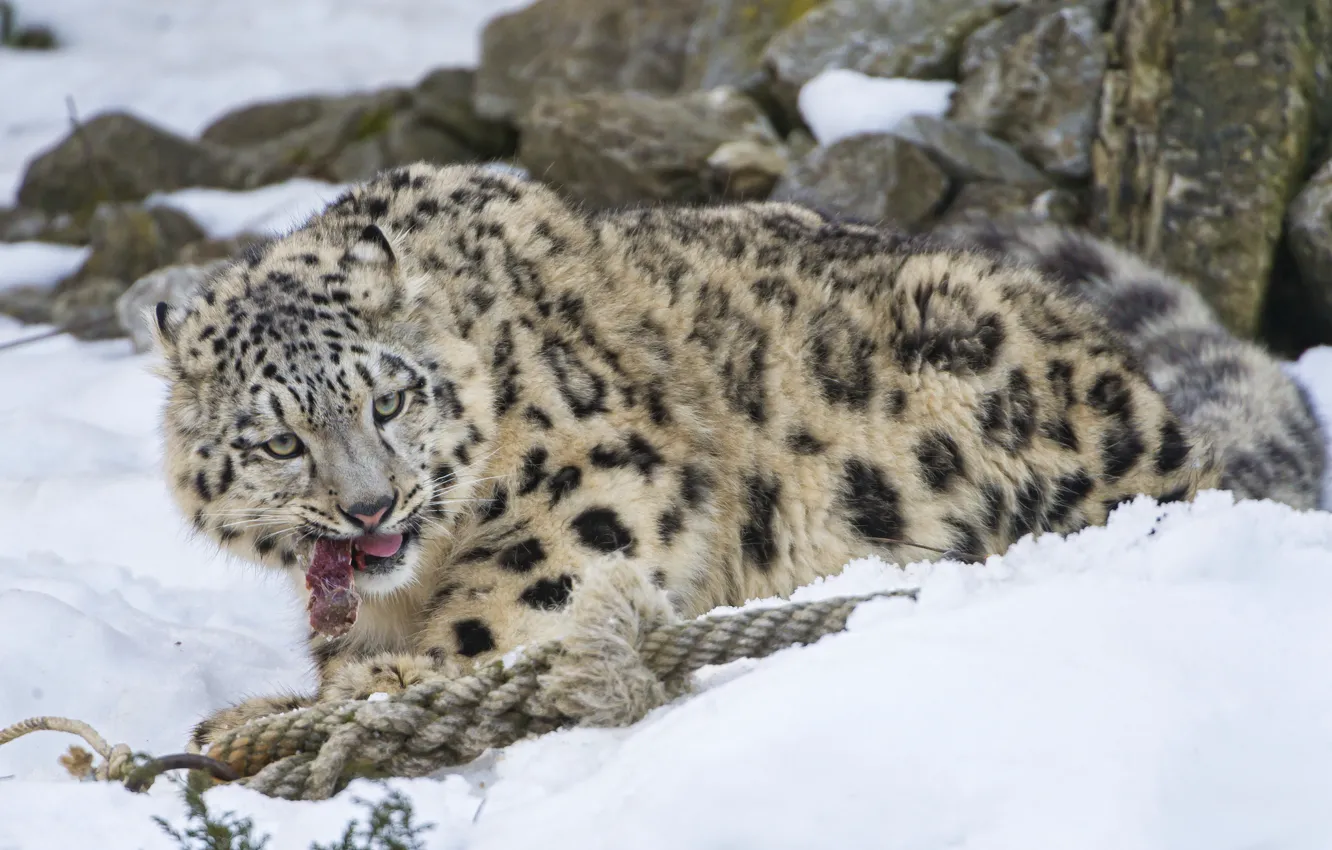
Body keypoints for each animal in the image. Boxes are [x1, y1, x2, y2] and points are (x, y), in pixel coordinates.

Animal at [151, 162, 1324, 750]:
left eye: (388, 398)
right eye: (279, 440)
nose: (370, 507)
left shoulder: (597, 476)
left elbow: (509, 600)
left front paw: (369, 688)